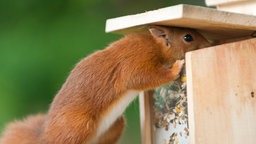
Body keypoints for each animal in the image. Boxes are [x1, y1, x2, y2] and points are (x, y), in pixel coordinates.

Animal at [0, 25, 210, 143]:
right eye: (188, 37)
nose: (209, 44)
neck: (154, 44)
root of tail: (42, 136)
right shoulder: (135, 59)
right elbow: (141, 77)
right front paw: (175, 68)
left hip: (114, 125)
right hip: (76, 125)